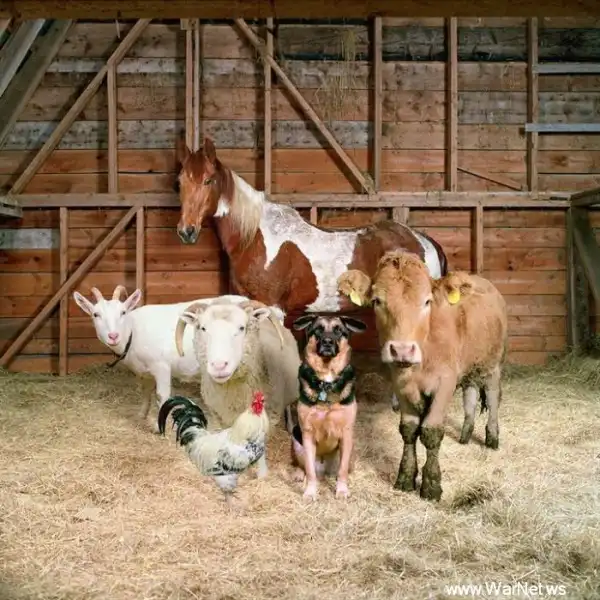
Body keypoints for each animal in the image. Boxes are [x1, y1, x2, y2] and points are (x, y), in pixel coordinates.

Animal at [176, 137, 448, 315]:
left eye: (208, 180)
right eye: (180, 182)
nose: (186, 231)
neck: (254, 237)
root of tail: (424, 241)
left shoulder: (272, 308)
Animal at [285, 314, 367, 501]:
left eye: (338, 331)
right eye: (318, 330)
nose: (327, 342)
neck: (327, 382)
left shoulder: (346, 433)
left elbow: (342, 471)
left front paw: (341, 490)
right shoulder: (307, 433)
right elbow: (310, 472)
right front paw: (310, 492)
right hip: (296, 440)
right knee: (304, 467)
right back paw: (299, 474)